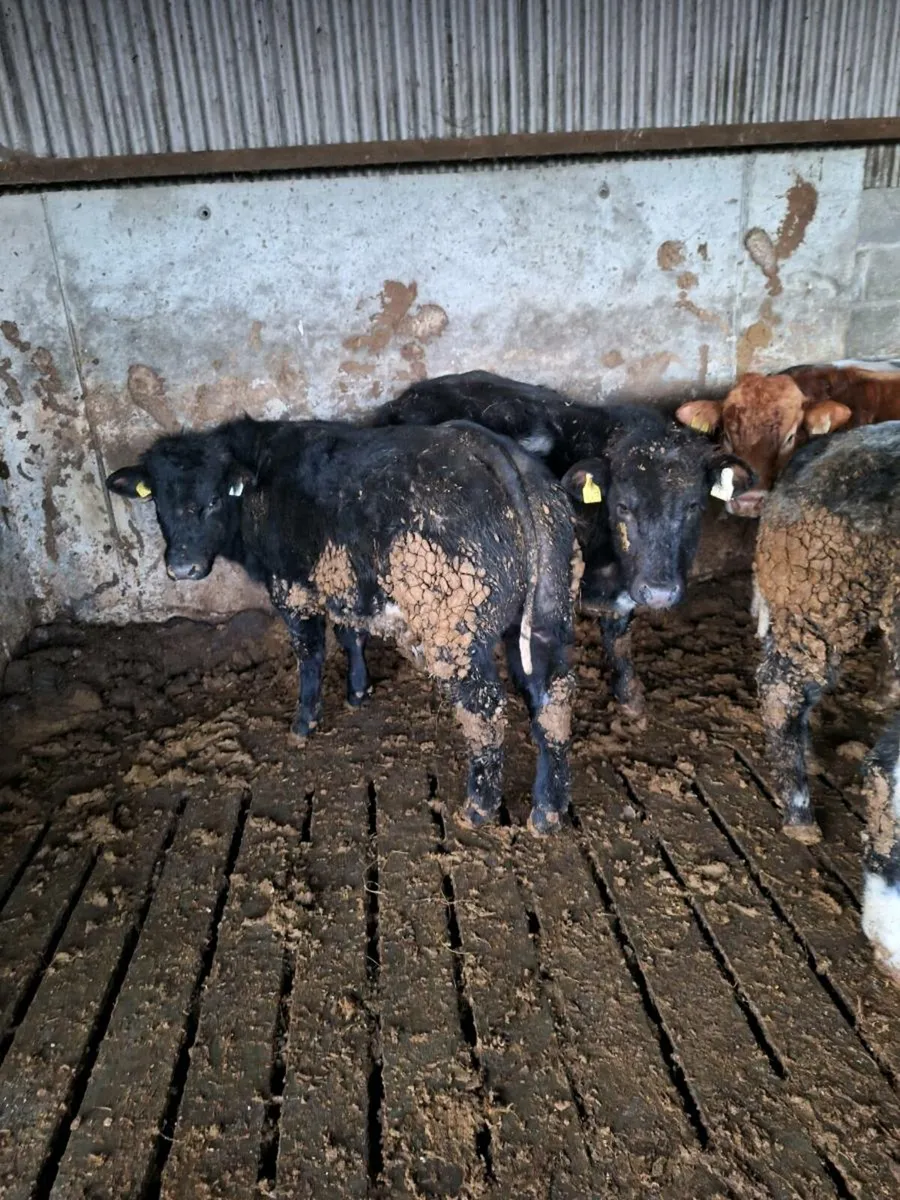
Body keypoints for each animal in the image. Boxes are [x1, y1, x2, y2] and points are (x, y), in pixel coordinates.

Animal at [106, 416, 580, 834]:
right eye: (158, 501)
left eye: (215, 499)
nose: (182, 567)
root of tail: (490, 447)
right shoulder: (343, 585)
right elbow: (351, 634)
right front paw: (357, 692)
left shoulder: (292, 588)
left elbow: (310, 654)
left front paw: (304, 721)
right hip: (544, 619)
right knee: (551, 697)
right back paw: (548, 810)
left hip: (455, 635)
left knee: (483, 710)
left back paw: (479, 807)